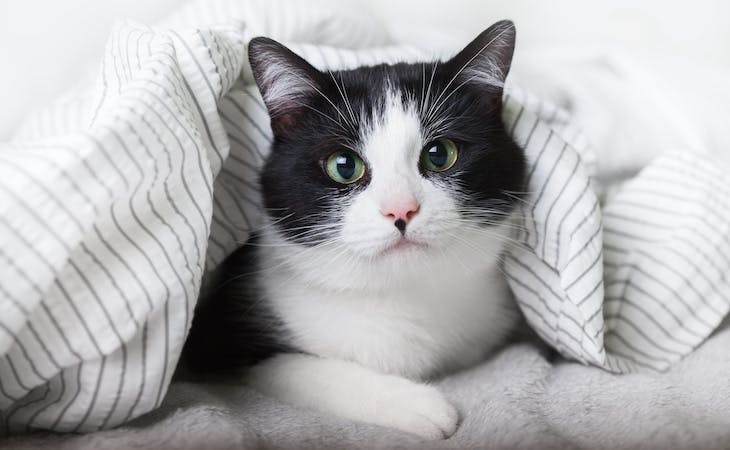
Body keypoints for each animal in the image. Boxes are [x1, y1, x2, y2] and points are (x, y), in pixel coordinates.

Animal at [181, 21, 524, 440]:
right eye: (344, 166)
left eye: (439, 154)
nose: (400, 209)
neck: (398, 294)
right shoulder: (215, 342)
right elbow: (294, 367)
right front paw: (418, 405)